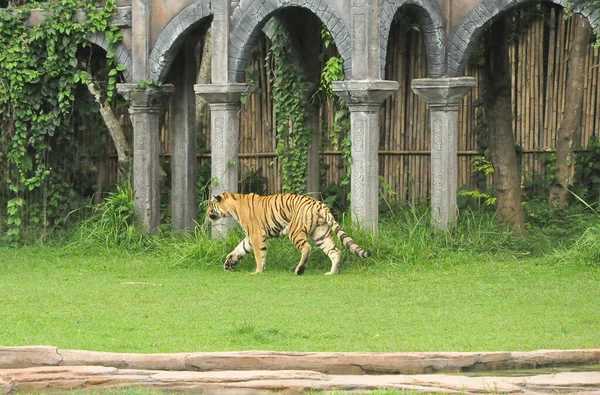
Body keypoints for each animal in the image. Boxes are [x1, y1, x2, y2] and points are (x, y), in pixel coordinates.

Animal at [206, 193, 370, 276]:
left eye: (210, 205)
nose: (207, 213)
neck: (233, 207)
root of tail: (318, 203)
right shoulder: (250, 237)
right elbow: (240, 248)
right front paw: (229, 262)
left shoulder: (256, 234)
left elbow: (259, 255)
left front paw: (258, 271)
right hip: (321, 234)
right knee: (335, 251)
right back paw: (331, 273)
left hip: (295, 231)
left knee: (307, 248)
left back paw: (300, 269)